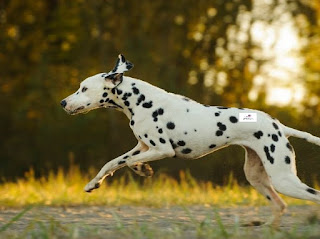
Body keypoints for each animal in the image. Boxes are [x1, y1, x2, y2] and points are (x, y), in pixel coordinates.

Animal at [60, 54, 320, 228]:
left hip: (283, 179)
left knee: (311, 196)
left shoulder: (162, 149)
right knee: (280, 205)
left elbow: (127, 162)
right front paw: (95, 183)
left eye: (83, 88)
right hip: (257, 177)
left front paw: (141, 169)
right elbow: (114, 163)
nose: (63, 102)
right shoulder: (142, 147)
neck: (141, 101)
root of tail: (279, 126)